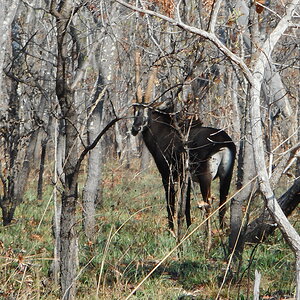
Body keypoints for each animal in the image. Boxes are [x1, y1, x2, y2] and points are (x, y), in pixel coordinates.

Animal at [132, 54, 236, 237]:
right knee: (222, 203)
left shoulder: (168, 174)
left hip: (205, 176)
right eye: (134, 111)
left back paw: (207, 236)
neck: (165, 132)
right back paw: (222, 233)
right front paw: (187, 228)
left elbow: (171, 202)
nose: (135, 128)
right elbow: (185, 203)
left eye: (148, 111)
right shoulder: (184, 177)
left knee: (208, 204)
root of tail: (223, 142)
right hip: (226, 175)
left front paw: (172, 230)